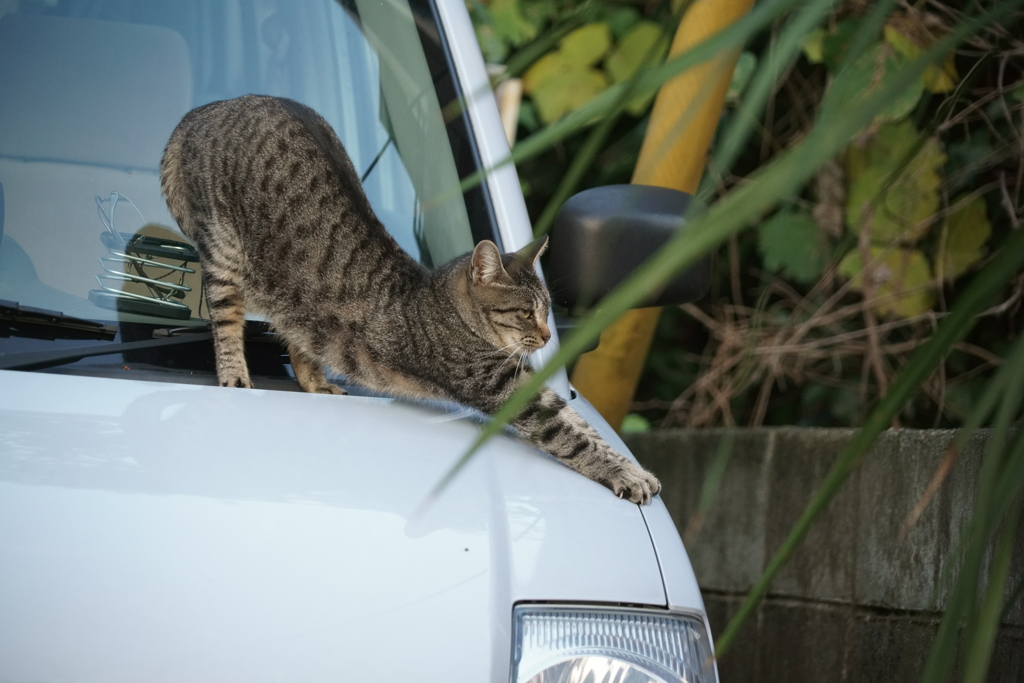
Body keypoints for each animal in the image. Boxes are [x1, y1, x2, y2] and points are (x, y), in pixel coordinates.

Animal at [159, 94, 655, 501]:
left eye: (549, 311)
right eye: (525, 312)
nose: (549, 335)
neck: (446, 309)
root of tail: (204, 110)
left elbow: (582, 425)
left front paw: (634, 467)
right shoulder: (501, 386)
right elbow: (571, 436)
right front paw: (625, 474)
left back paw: (317, 382)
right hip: (224, 251)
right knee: (226, 322)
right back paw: (235, 376)